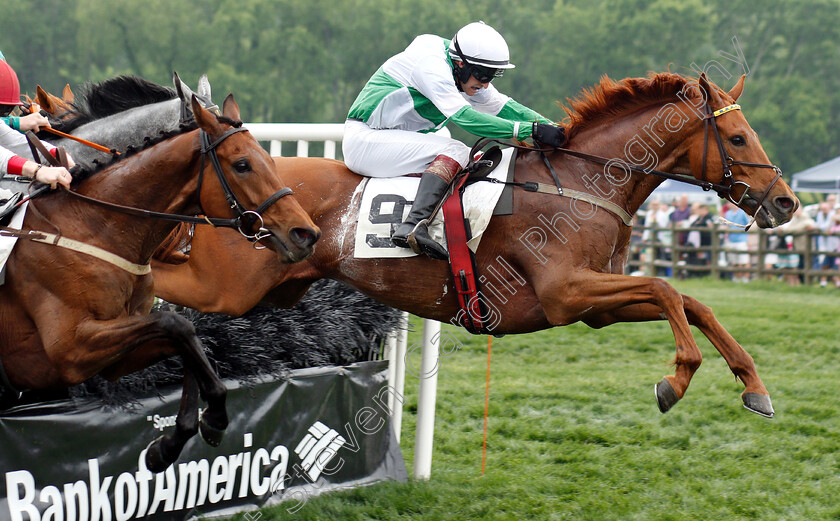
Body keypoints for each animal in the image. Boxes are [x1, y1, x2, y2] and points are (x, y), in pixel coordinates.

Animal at [0, 94, 320, 472]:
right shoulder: (71, 351)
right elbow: (177, 324)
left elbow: (187, 341)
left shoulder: (114, 358)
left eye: (270, 159)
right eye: (242, 165)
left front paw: (171, 443)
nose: (306, 234)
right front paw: (212, 417)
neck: (93, 226)